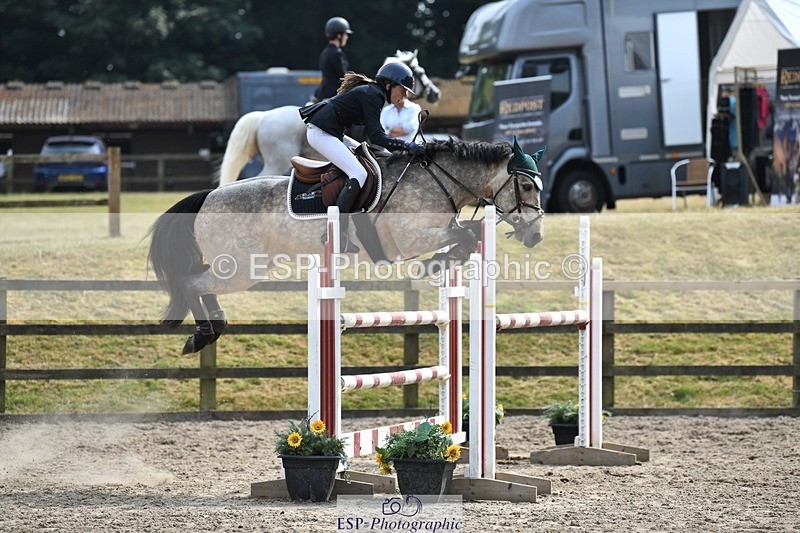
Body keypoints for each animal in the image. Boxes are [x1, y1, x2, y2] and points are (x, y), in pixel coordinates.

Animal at [148, 138, 546, 354]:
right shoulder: (409, 238)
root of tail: (207, 196)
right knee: (191, 283)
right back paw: (201, 336)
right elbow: (463, 236)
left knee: (201, 284)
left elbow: (469, 234)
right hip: (241, 269)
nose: (535, 236)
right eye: (527, 186)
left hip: (241, 267)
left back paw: (214, 328)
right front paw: (435, 263)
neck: (437, 179)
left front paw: (443, 262)